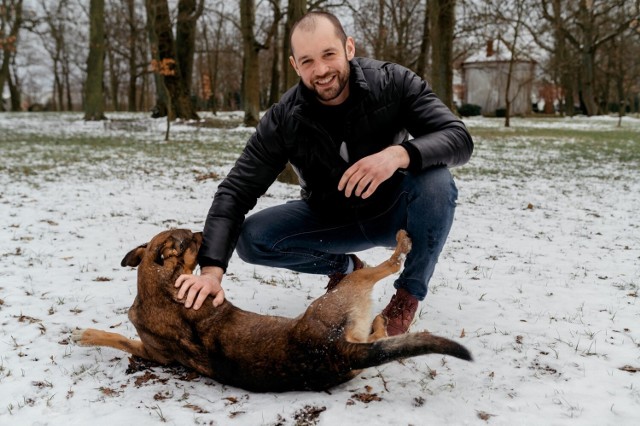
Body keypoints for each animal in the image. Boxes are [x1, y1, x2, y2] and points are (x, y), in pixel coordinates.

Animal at [72, 228, 472, 392]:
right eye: (195, 240)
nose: (206, 235)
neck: (157, 289)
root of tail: (338, 351)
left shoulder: (155, 354)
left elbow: (122, 340)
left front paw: (87, 335)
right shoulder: (155, 353)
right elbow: (120, 339)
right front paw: (89, 335)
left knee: (381, 329)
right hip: (345, 294)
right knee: (386, 270)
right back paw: (399, 251)